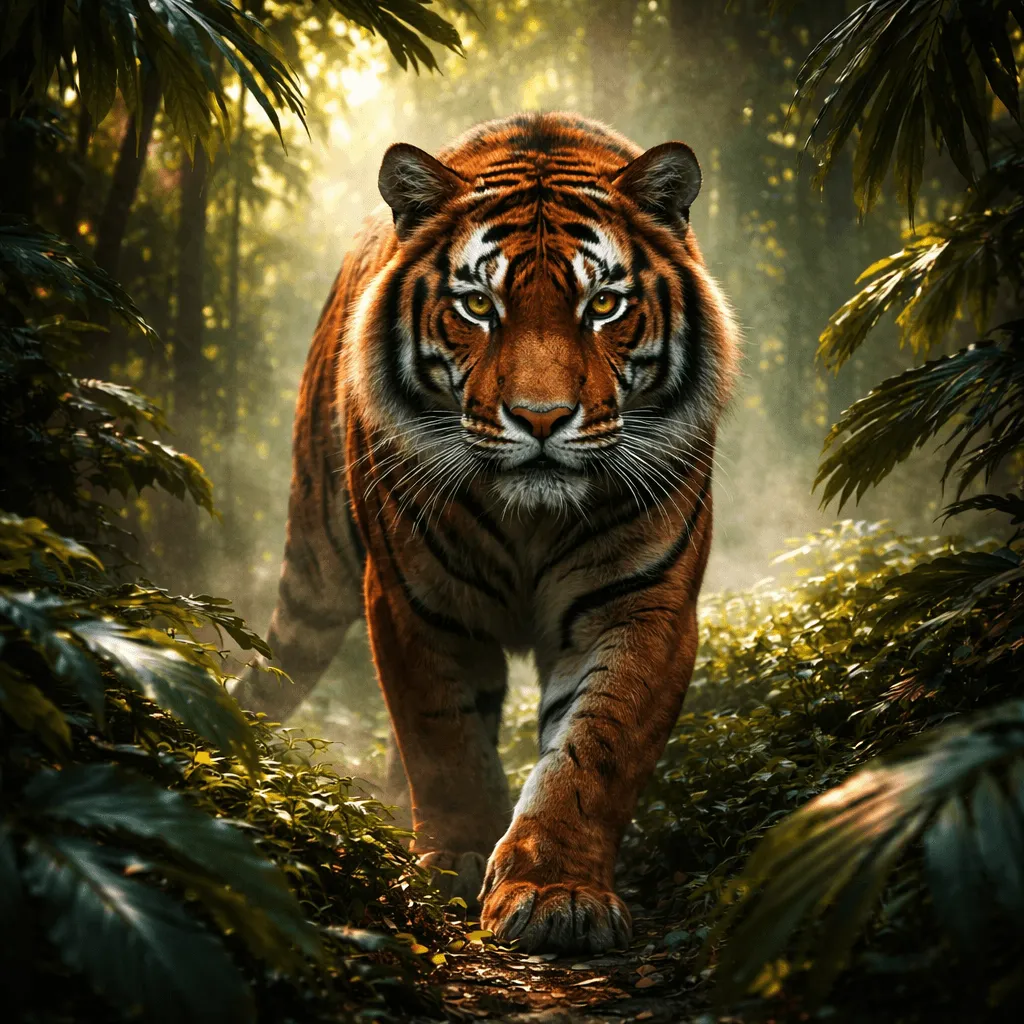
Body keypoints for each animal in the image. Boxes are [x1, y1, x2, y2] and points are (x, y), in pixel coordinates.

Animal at [234, 112, 738, 953]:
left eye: (603, 306)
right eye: (477, 306)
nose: (540, 418)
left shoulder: (644, 604)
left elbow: (594, 750)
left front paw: (557, 893)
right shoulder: (413, 600)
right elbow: (443, 737)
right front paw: (456, 858)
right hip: (319, 561)